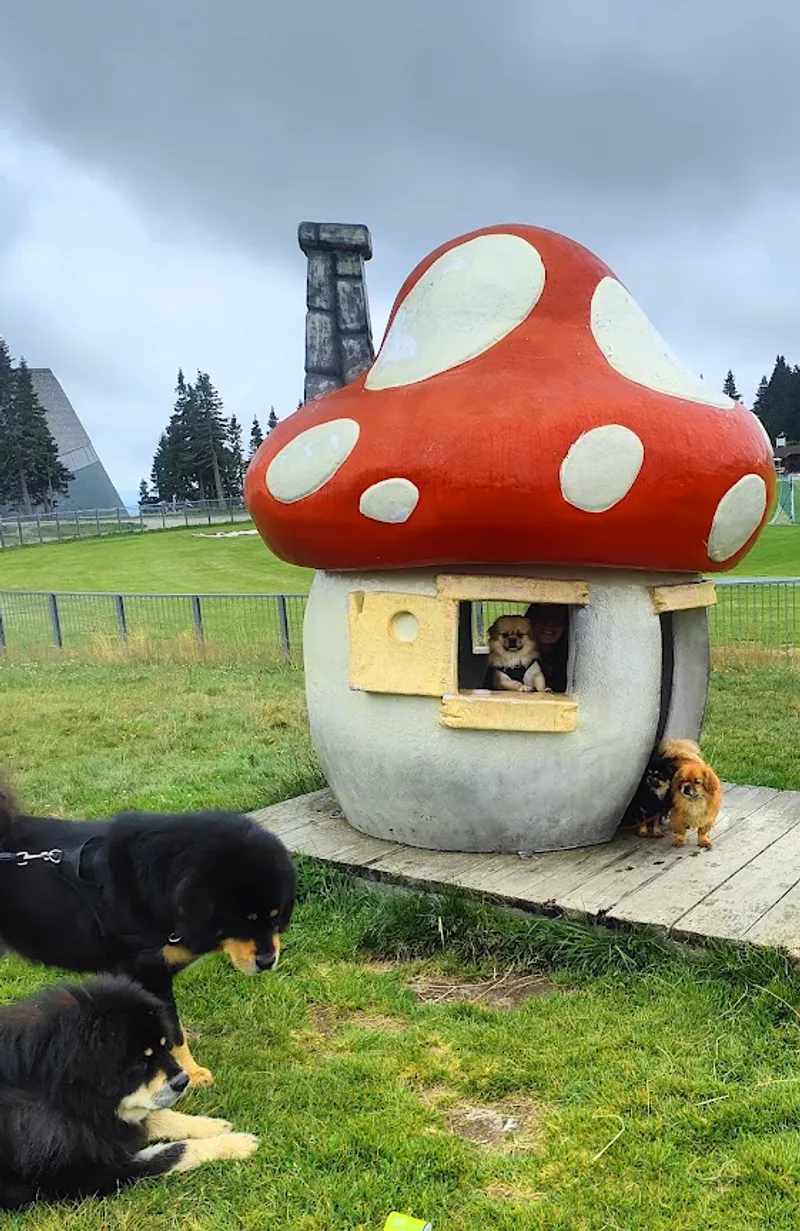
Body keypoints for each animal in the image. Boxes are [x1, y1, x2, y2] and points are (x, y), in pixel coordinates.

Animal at [0, 784, 296, 1087]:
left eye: (276, 916)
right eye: (241, 922)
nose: (267, 961)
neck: (159, 886)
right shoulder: (150, 977)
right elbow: (173, 1033)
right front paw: (190, 1073)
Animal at [0, 975, 258, 1209]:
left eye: (164, 1046)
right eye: (142, 1062)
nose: (184, 1080)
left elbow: (157, 1117)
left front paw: (211, 1125)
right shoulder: (88, 1173)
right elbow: (172, 1151)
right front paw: (236, 1144)